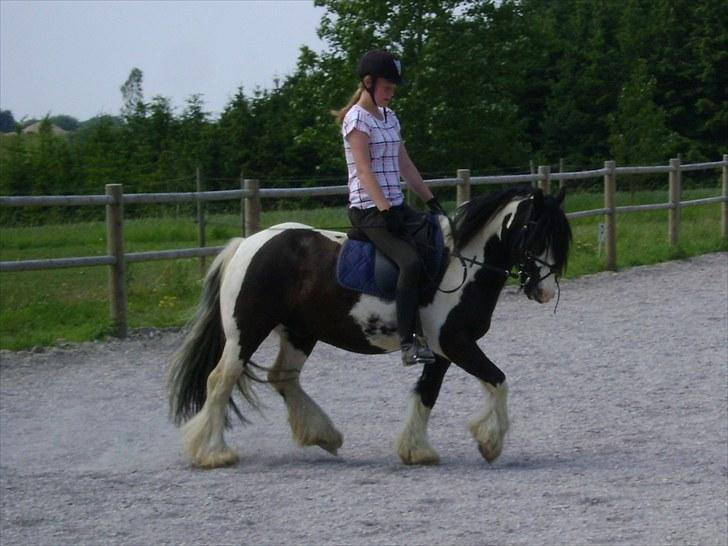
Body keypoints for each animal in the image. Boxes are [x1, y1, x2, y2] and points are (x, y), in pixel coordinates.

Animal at [168, 185, 572, 466]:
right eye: (534, 231)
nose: (545, 291)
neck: (461, 265)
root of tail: (247, 244)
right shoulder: (455, 343)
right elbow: (498, 381)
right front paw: (490, 443)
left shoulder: (439, 351)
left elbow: (427, 394)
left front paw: (416, 450)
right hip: (247, 331)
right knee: (221, 380)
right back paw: (213, 453)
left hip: (300, 332)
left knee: (282, 378)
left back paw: (323, 434)